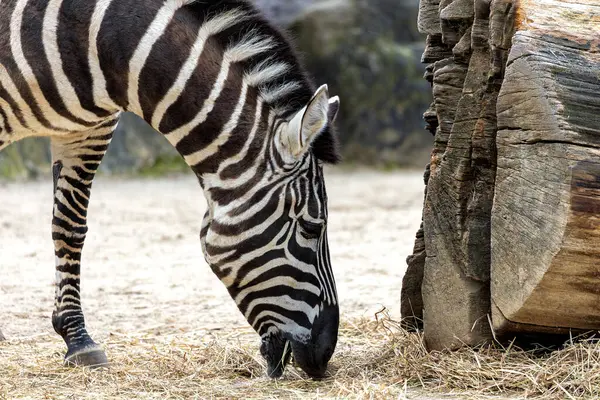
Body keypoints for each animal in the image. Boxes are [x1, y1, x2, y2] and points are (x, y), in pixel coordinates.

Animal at [0, 0, 342, 378]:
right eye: (311, 227)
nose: (324, 355)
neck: (98, 41)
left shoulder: (88, 129)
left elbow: (70, 228)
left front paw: (78, 340)